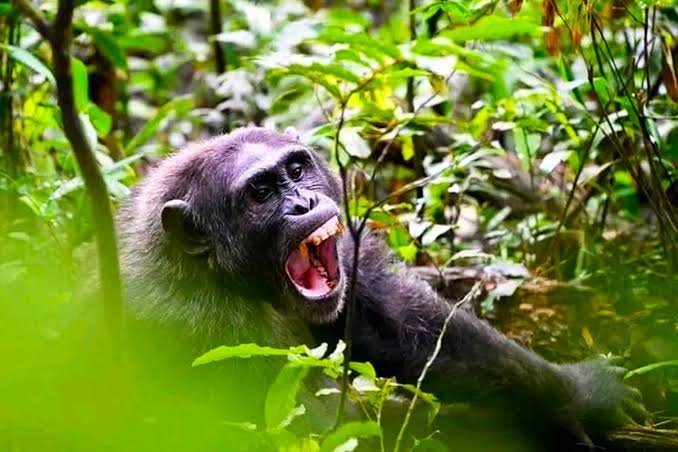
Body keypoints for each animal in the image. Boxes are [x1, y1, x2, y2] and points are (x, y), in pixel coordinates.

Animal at [117, 127, 647, 450]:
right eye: (260, 193)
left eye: (296, 170)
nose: (303, 203)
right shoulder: (215, 333)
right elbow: (325, 427)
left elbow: (397, 323)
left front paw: (579, 395)